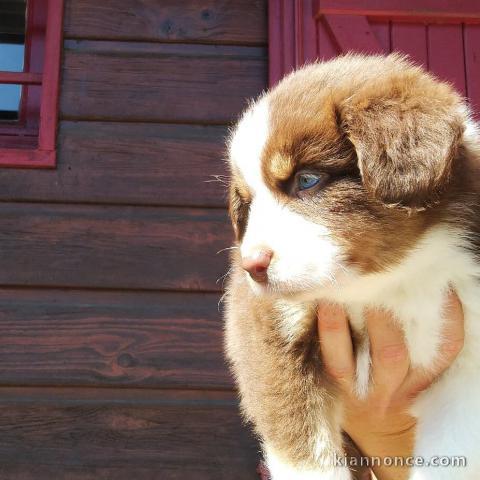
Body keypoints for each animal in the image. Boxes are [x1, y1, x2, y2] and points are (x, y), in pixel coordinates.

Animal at [224, 53, 480, 480]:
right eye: (248, 203)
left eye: (306, 180)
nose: (252, 266)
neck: (383, 281)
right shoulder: (269, 337)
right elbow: (307, 457)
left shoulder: (469, 359)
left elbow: (452, 453)